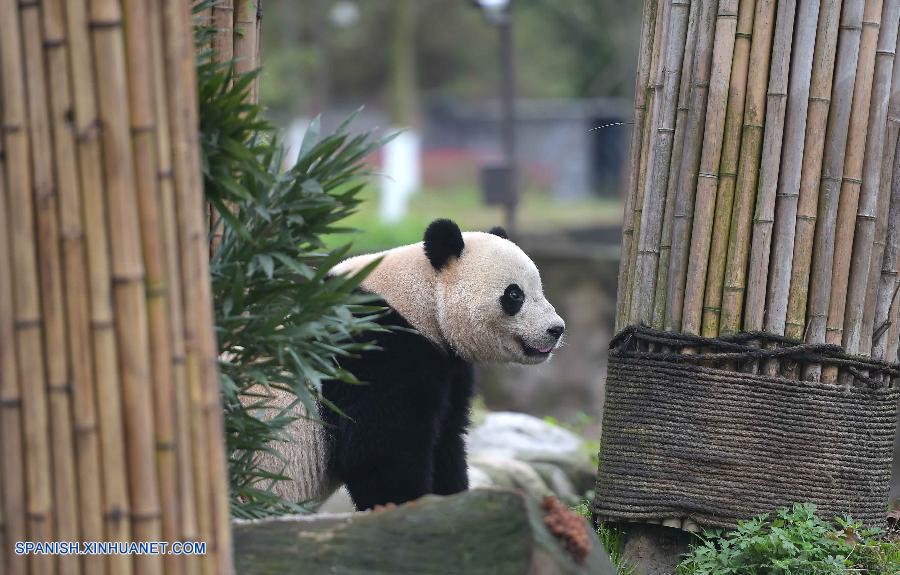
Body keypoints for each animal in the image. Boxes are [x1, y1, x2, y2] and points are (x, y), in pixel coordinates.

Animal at [260, 218, 568, 510]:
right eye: (515, 294)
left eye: (539, 288)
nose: (556, 329)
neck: (418, 302)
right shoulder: (375, 350)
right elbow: (380, 451)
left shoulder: (447, 366)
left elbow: (446, 441)